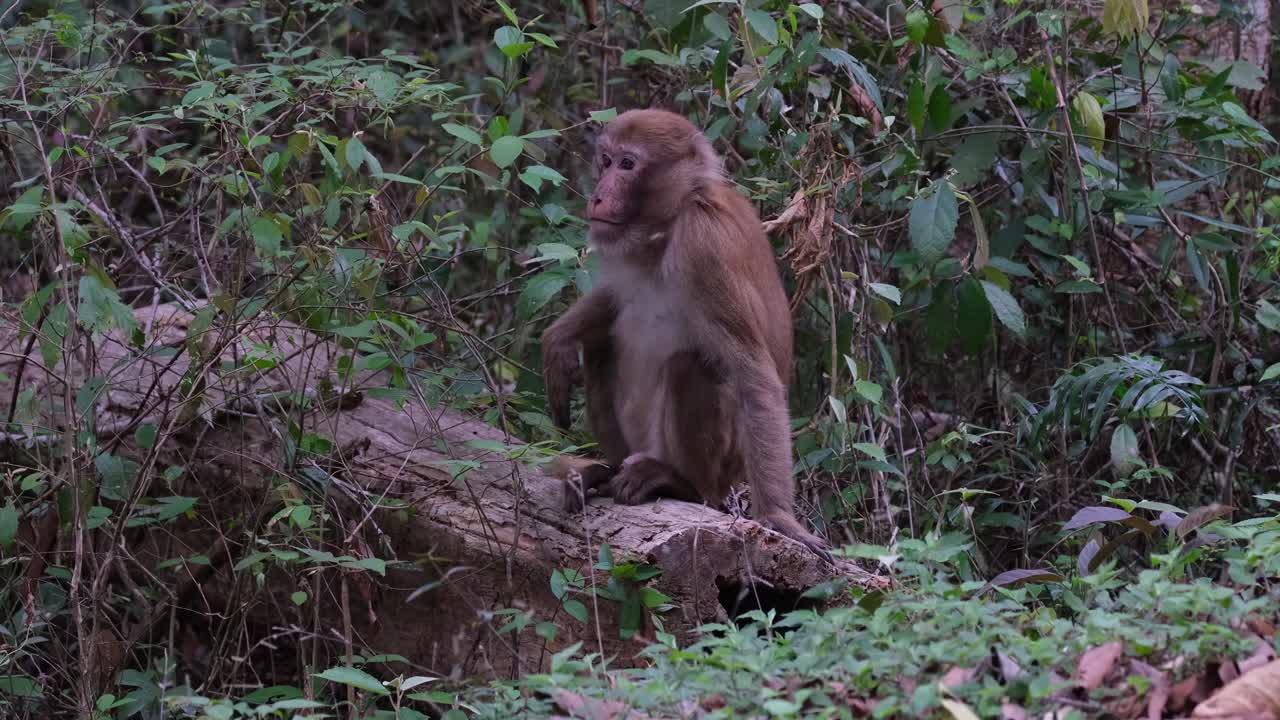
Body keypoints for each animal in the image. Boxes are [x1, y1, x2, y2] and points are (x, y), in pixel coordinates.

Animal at [541, 108, 831, 562]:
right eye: (605, 161)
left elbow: (754, 376)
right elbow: (611, 301)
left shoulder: (706, 246)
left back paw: (680, 483)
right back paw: (606, 471)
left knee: (689, 366)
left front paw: (781, 519)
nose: (599, 195)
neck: (669, 223)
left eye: (628, 164)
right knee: (603, 345)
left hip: (721, 467)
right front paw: (558, 338)